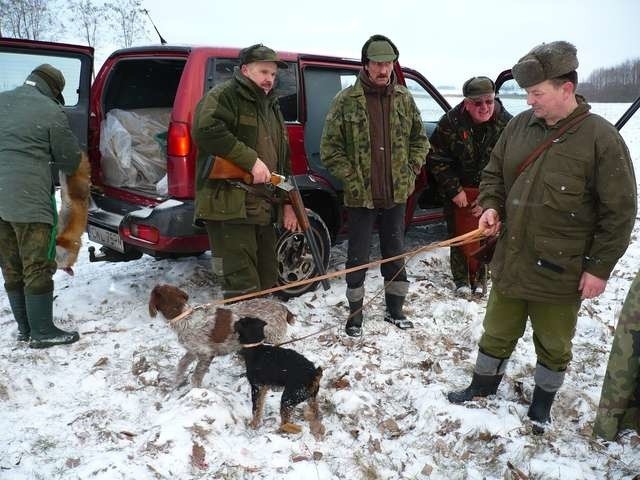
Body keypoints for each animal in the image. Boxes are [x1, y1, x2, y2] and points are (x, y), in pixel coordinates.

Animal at [148, 284, 296, 388]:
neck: (184, 316)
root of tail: (282, 307)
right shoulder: (193, 350)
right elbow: (182, 364)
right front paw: (176, 383)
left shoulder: (206, 354)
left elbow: (196, 377)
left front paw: (194, 391)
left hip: (272, 340)